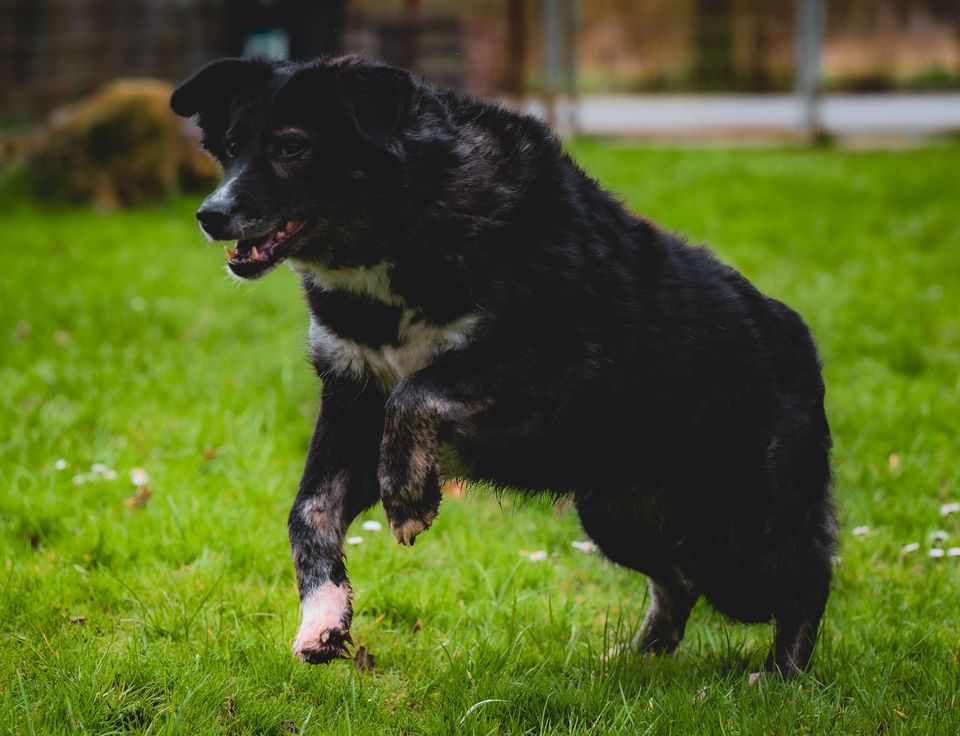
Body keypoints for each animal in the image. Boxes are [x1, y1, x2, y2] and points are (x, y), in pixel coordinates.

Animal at [174, 56, 840, 680]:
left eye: (292, 146)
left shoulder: (544, 370)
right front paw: (323, 616)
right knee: (679, 580)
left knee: (806, 572)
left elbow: (418, 391)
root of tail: (798, 339)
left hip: (738, 534)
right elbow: (308, 511)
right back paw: (641, 657)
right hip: (620, 513)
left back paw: (781, 674)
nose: (210, 215)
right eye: (230, 148)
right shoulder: (351, 395)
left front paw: (409, 497)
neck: (408, 223)